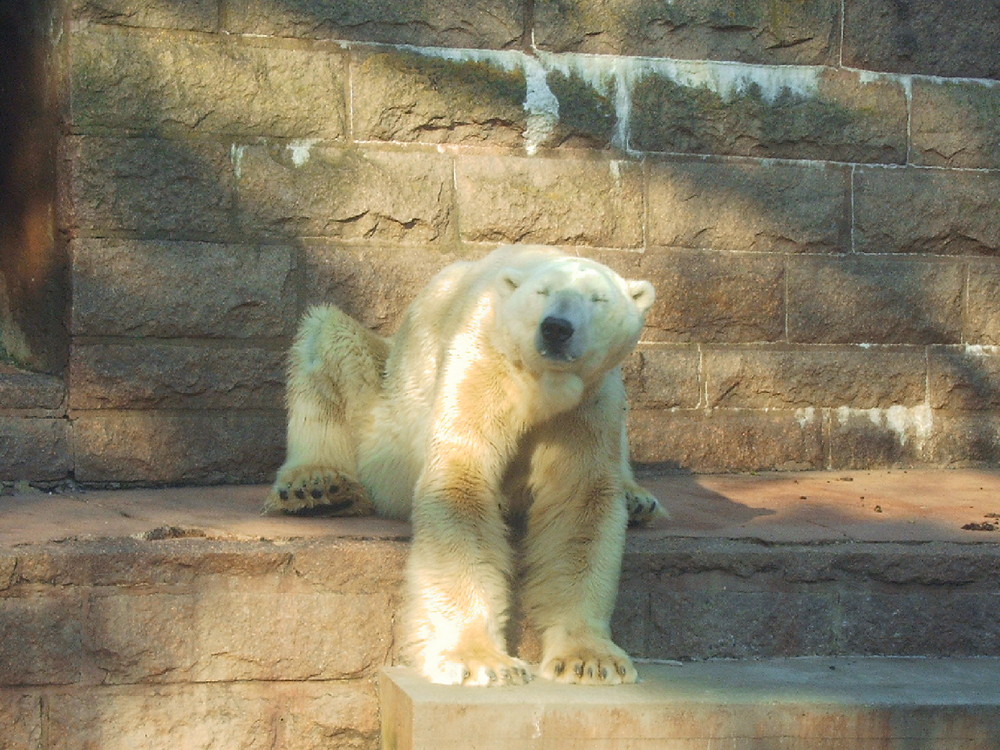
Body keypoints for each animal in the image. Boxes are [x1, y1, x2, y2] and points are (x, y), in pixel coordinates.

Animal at [266, 247, 664, 688]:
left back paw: (636, 498)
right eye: (542, 292)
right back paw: (318, 486)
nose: (556, 329)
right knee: (325, 340)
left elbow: (578, 503)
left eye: (598, 299)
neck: (541, 387)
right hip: (378, 407)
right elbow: (462, 482)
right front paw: (481, 661)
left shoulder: (588, 401)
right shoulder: (481, 361)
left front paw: (590, 660)